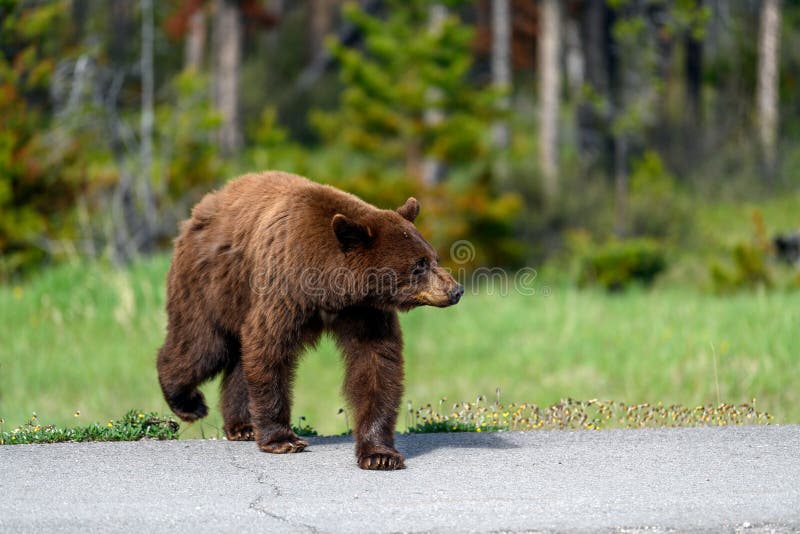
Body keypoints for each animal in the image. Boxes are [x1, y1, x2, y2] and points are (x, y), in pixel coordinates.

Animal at [156, 171, 462, 468]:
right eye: (419, 265)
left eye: (434, 258)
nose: (456, 290)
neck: (330, 286)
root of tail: (204, 205)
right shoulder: (285, 288)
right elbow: (269, 348)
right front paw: (283, 439)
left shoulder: (365, 311)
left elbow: (376, 363)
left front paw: (379, 454)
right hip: (209, 284)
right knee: (203, 345)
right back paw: (189, 403)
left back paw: (242, 426)